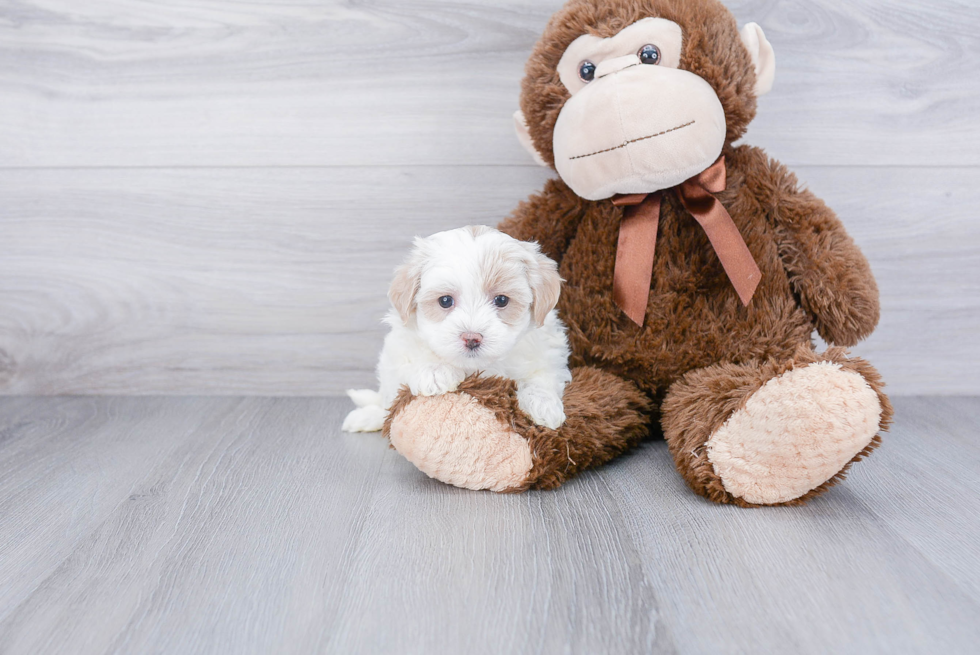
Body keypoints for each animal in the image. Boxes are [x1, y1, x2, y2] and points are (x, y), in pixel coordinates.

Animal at [344, 226, 576, 436]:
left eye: (501, 300)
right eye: (445, 301)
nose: (472, 338)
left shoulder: (548, 351)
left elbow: (542, 375)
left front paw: (543, 404)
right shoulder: (398, 352)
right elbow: (415, 358)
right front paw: (435, 371)